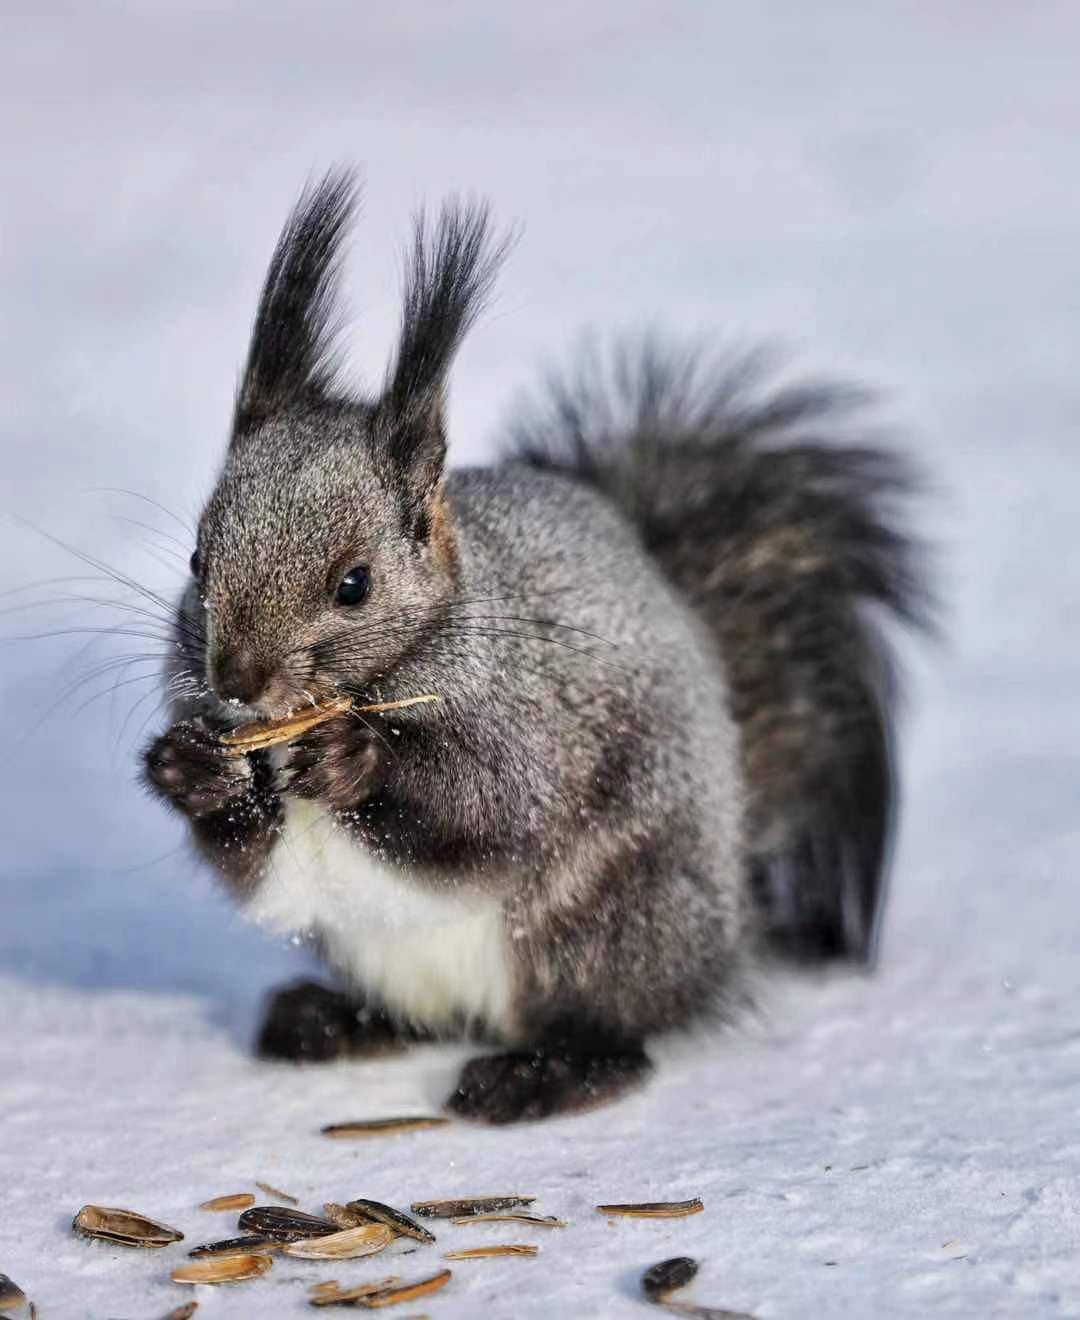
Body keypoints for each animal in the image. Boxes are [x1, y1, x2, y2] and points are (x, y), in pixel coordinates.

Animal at [141, 172, 924, 1124]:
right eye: (196, 561)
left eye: (354, 583)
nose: (237, 682)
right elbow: (261, 871)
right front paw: (194, 770)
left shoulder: (533, 717)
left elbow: (488, 813)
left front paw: (356, 757)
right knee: (419, 1019)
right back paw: (327, 1019)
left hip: (607, 921)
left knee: (617, 1029)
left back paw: (544, 1071)